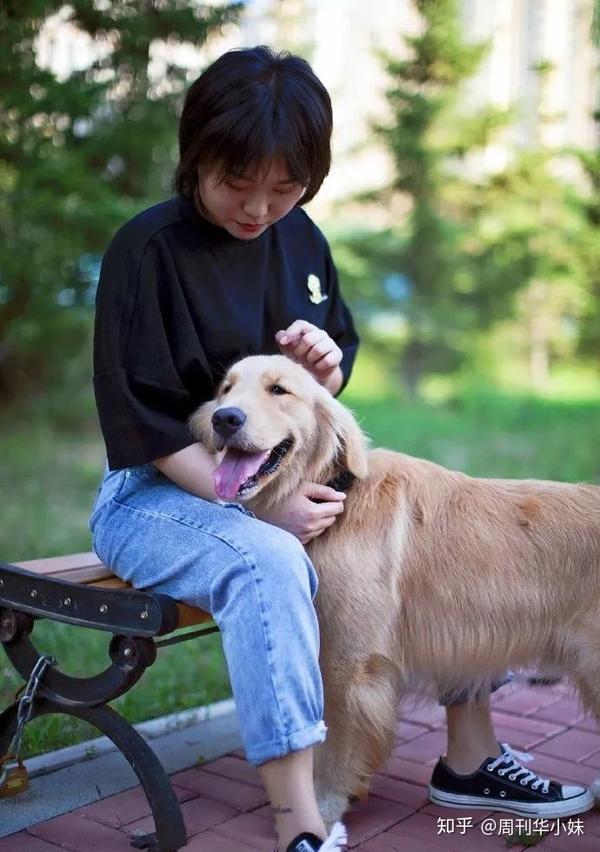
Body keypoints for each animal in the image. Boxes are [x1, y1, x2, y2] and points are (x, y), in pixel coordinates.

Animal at [190, 352, 600, 824]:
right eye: (226, 389)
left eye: (278, 390)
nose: (224, 418)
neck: (338, 493)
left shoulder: (349, 663)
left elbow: (336, 747)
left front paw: (325, 809)